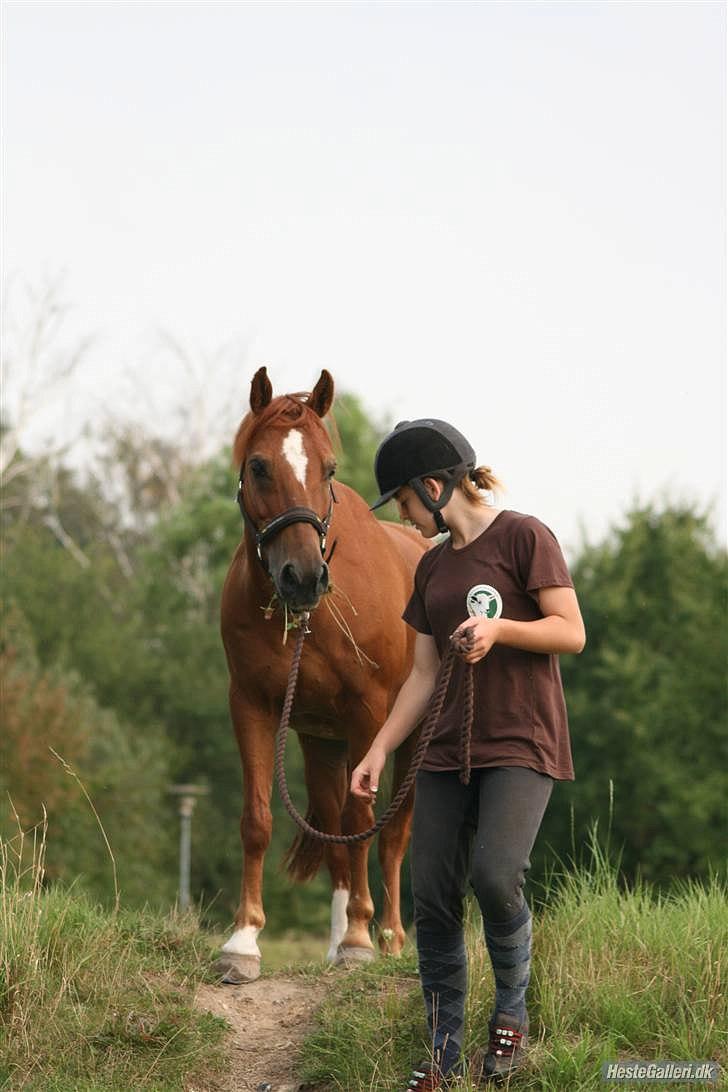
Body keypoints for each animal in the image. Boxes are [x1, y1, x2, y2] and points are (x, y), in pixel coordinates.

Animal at [219, 364, 430, 982]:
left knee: (391, 835)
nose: (304, 577)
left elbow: (366, 818)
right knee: (336, 831)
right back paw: (339, 942)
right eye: (258, 465)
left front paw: (361, 937)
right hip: (322, 741)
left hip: (411, 739)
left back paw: (386, 937)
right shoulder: (253, 706)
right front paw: (243, 941)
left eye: (329, 469)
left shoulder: (368, 715)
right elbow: (259, 818)